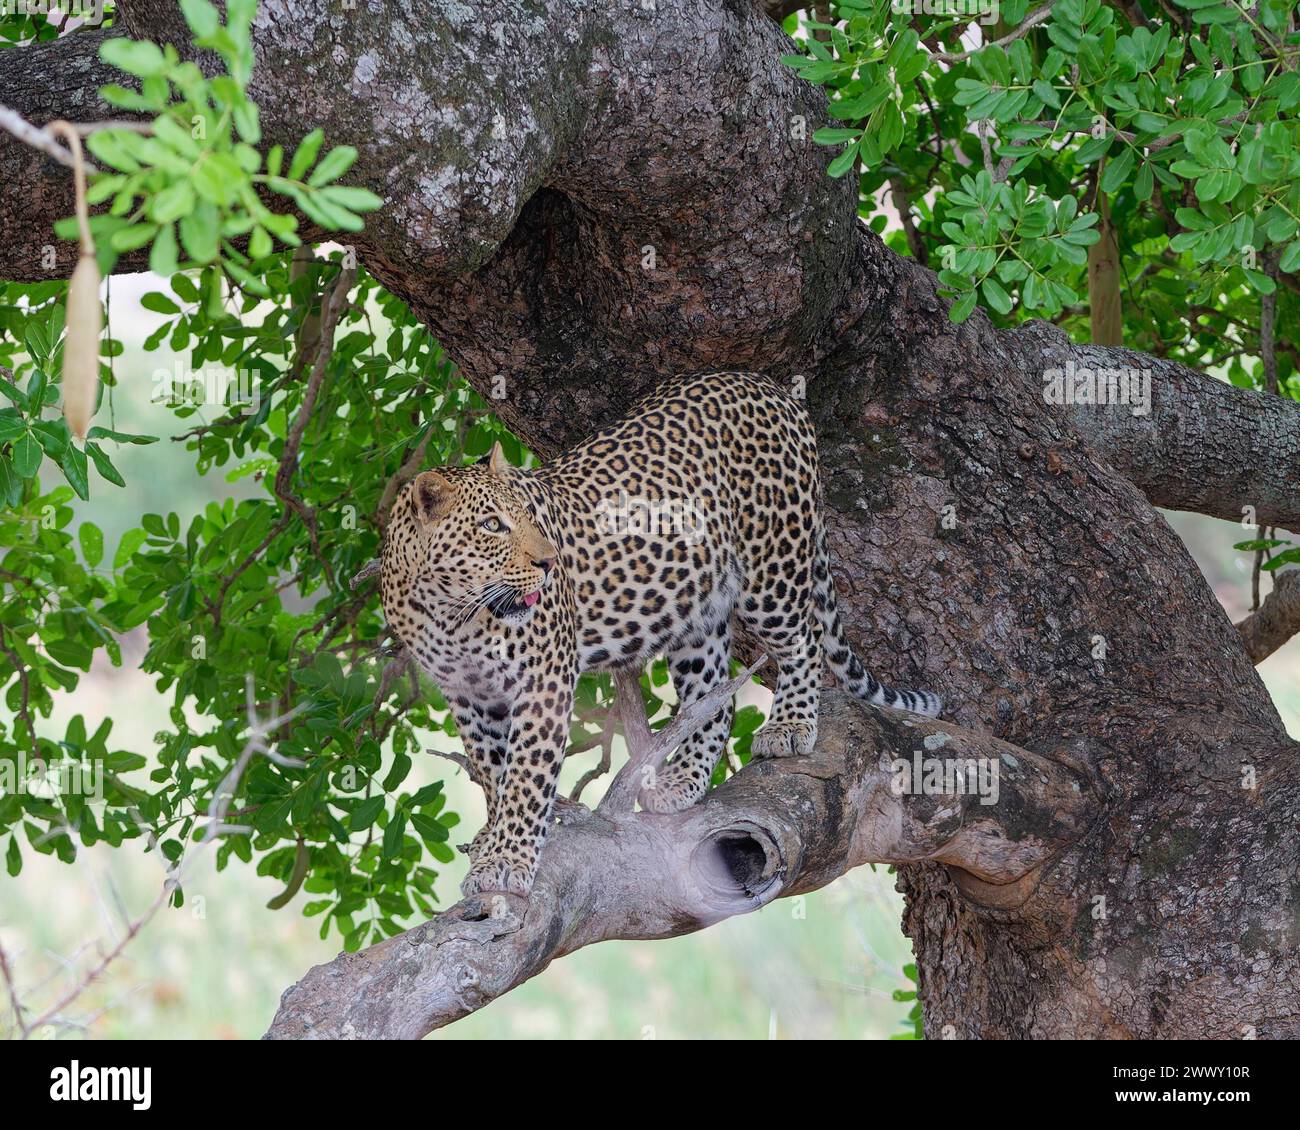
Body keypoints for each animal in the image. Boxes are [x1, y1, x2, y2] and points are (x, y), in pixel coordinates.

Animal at [379, 374, 941, 894]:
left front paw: (509, 860)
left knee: (804, 640)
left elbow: (526, 779)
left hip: (772, 568)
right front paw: (495, 844)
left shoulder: (544, 680)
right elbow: (496, 775)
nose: (548, 562)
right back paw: (682, 780)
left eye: (529, 517)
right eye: (492, 525)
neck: (450, 610)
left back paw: (789, 725)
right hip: (698, 608)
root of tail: (768, 385)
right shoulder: (468, 696)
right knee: (714, 697)